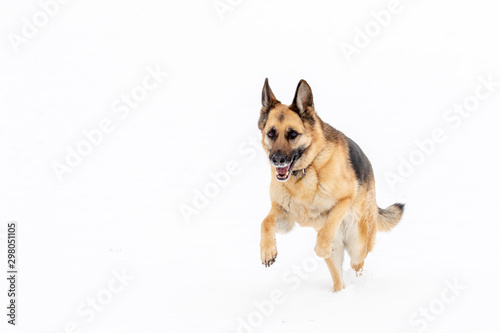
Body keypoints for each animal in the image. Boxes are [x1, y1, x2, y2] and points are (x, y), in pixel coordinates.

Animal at [260, 78, 404, 290]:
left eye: (292, 134)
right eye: (271, 133)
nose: (277, 160)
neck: (305, 171)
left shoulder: (344, 200)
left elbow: (327, 227)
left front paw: (321, 248)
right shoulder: (285, 216)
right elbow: (265, 222)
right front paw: (267, 251)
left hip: (358, 244)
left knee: (357, 264)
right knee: (339, 280)